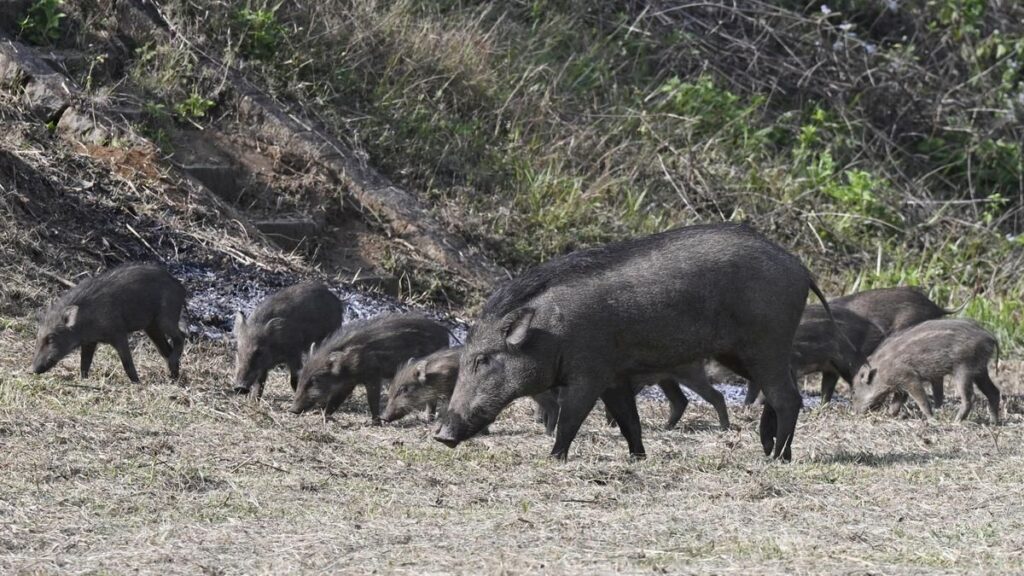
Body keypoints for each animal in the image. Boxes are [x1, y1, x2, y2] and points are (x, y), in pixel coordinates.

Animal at [31, 263, 186, 383]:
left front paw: (137, 383)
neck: (84, 320)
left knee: (181, 336)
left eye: (51, 338)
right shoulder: (89, 342)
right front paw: (83, 380)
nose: (32, 370)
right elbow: (84, 363)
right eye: (38, 337)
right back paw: (173, 377)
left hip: (165, 318)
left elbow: (127, 362)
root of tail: (179, 285)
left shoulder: (118, 334)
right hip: (151, 327)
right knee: (166, 350)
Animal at [290, 314, 449, 424]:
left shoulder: (373, 376)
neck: (349, 361)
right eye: (302, 376)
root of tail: (446, 334)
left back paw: (429, 420)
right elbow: (336, 400)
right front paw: (324, 417)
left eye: (314, 381)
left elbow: (372, 398)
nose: (292, 410)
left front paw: (375, 422)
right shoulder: (348, 383)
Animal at [381, 347, 560, 434]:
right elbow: (431, 406)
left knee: (554, 406)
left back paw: (549, 433)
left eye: (404, 389)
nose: (383, 417)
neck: (437, 376)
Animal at [435, 223, 832, 461]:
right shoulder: (615, 378)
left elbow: (571, 418)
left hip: (765, 344)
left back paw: (776, 458)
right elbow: (630, 420)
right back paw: (773, 451)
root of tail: (802, 269)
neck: (552, 332)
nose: (441, 435)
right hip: (743, 354)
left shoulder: (589, 374)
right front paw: (637, 457)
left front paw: (553, 458)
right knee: (778, 395)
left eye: (483, 360)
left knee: (788, 398)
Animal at [853, 319, 1000, 423]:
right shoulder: (900, 386)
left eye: (854, 391)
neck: (881, 370)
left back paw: (956, 421)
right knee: (994, 392)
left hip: (963, 369)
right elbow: (896, 403)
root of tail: (989, 336)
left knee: (970, 397)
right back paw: (994, 422)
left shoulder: (909, 378)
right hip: (980, 370)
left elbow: (921, 400)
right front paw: (890, 415)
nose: (855, 412)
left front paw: (931, 419)